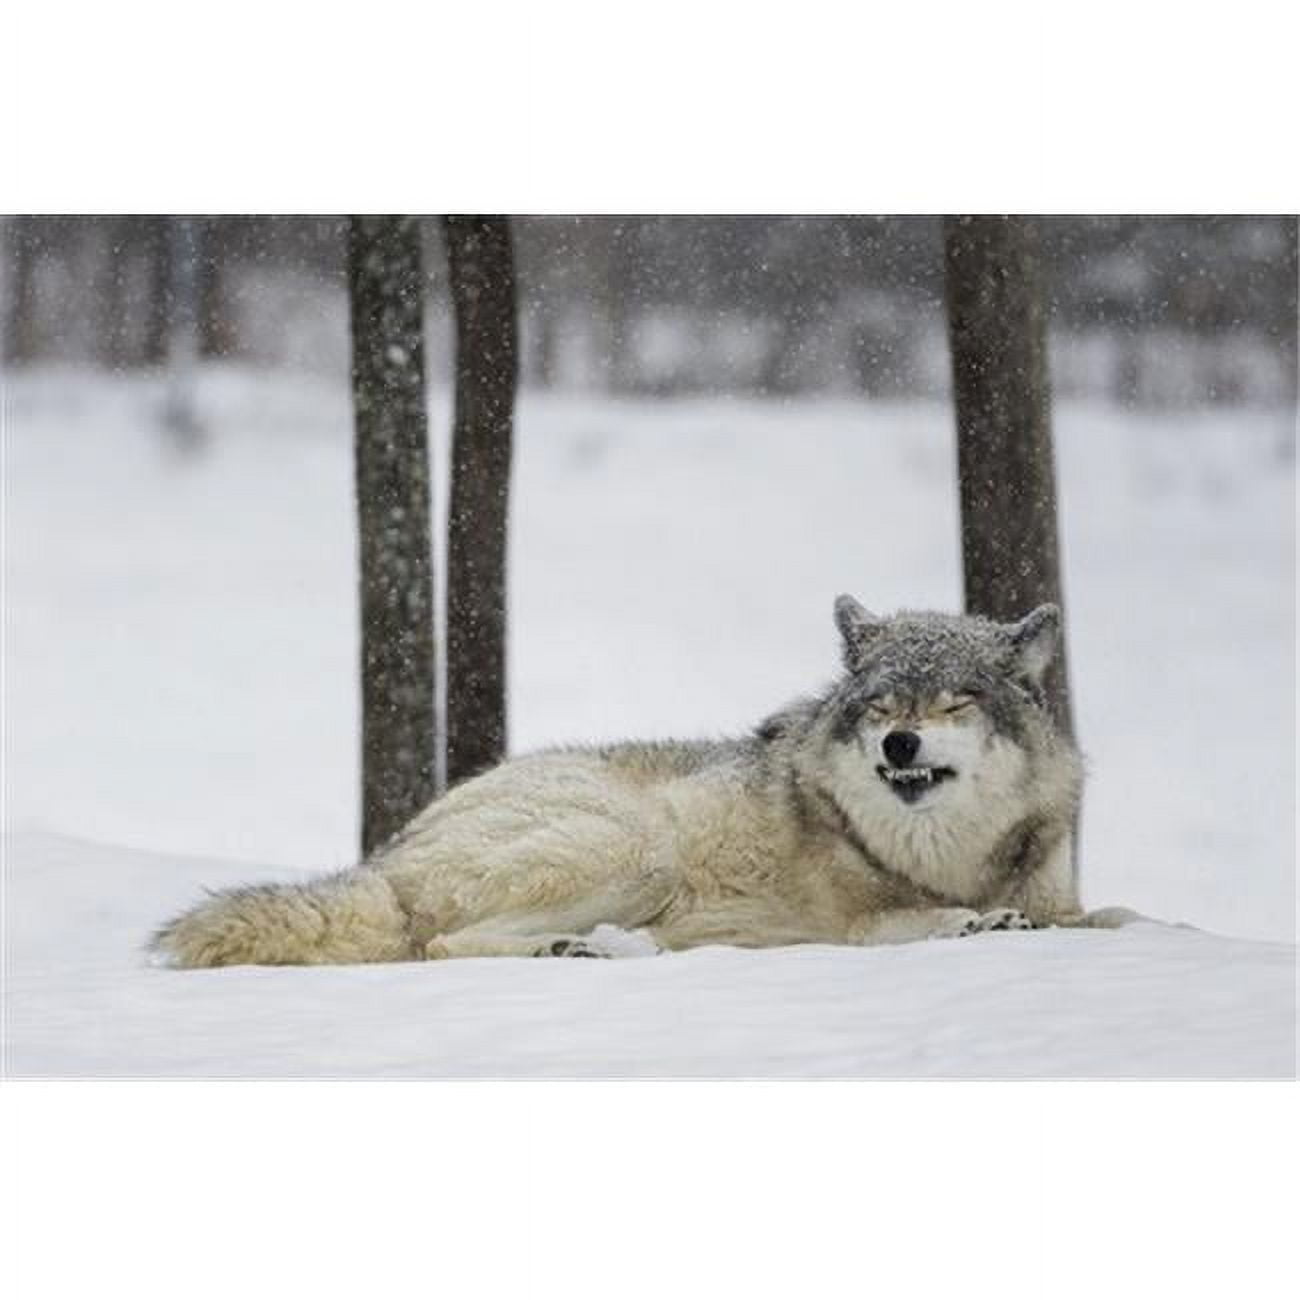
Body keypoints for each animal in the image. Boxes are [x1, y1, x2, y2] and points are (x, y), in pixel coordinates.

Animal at [150, 597, 1141, 969]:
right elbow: (915, 923)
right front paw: (975, 923)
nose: (899, 744)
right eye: (881, 704)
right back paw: (584, 949)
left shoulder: (1057, 889)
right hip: (637, 848)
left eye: (952, 701)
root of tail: (388, 853)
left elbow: (1115, 916)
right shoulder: (847, 922)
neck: (945, 854)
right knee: (437, 944)